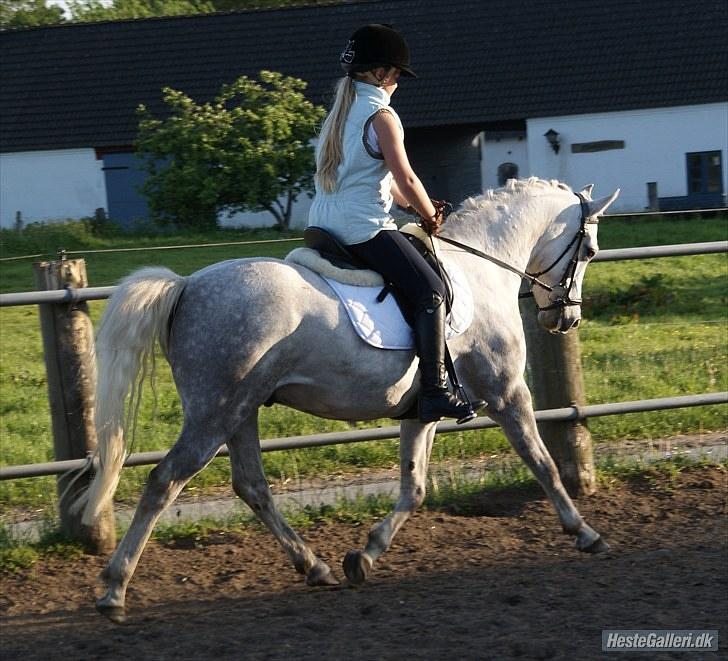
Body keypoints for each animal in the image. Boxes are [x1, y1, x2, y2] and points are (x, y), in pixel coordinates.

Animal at [78, 177, 616, 620]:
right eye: (589, 249)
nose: (565, 318)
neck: (481, 269)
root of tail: (187, 285)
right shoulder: (507, 393)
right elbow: (543, 463)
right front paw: (585, 533)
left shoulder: (421, 412)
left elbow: (414, 487)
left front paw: (365, 555)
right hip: (214, 414)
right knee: (165, 481)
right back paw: (113, 589)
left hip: (241, 411)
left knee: (252, 487)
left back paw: (314, 566)